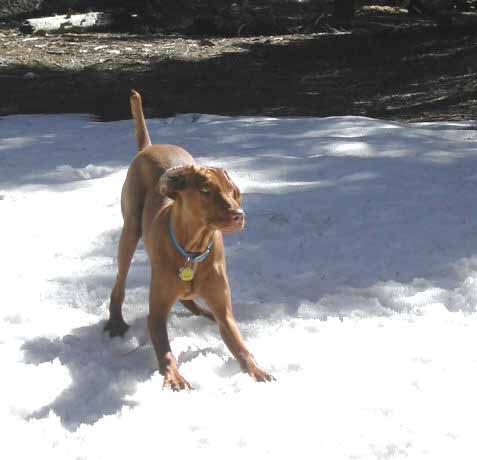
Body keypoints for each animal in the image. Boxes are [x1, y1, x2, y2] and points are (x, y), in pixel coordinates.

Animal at [104, 90, 274, 390]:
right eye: (206, 190)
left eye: (233, 191)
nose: (238, 215)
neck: (193, 251)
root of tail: (148, 147)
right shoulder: (157, 314)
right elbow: (166, 351)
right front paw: (174, 376)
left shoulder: (225, 311)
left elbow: (241, 347)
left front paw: (257, 371)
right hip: (130, 231)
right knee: (119, 282)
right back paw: (116, 321)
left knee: (195, 305)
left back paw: (202, 311)